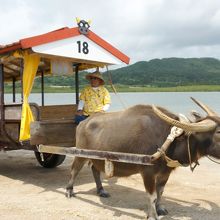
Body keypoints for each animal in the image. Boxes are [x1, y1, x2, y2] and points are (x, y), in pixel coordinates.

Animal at [65, 98, 220, 220]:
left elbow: (160, 192)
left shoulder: (165, 173)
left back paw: (101, 190)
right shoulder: (148, 173)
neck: (170, 139)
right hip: (80, 154)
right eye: (218, 131)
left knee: (94, 169)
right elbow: (152, 195)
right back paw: (69, 190)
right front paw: (152, 215)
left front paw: (160, 208)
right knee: (74, 169)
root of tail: (83, 123)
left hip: (96, 157)